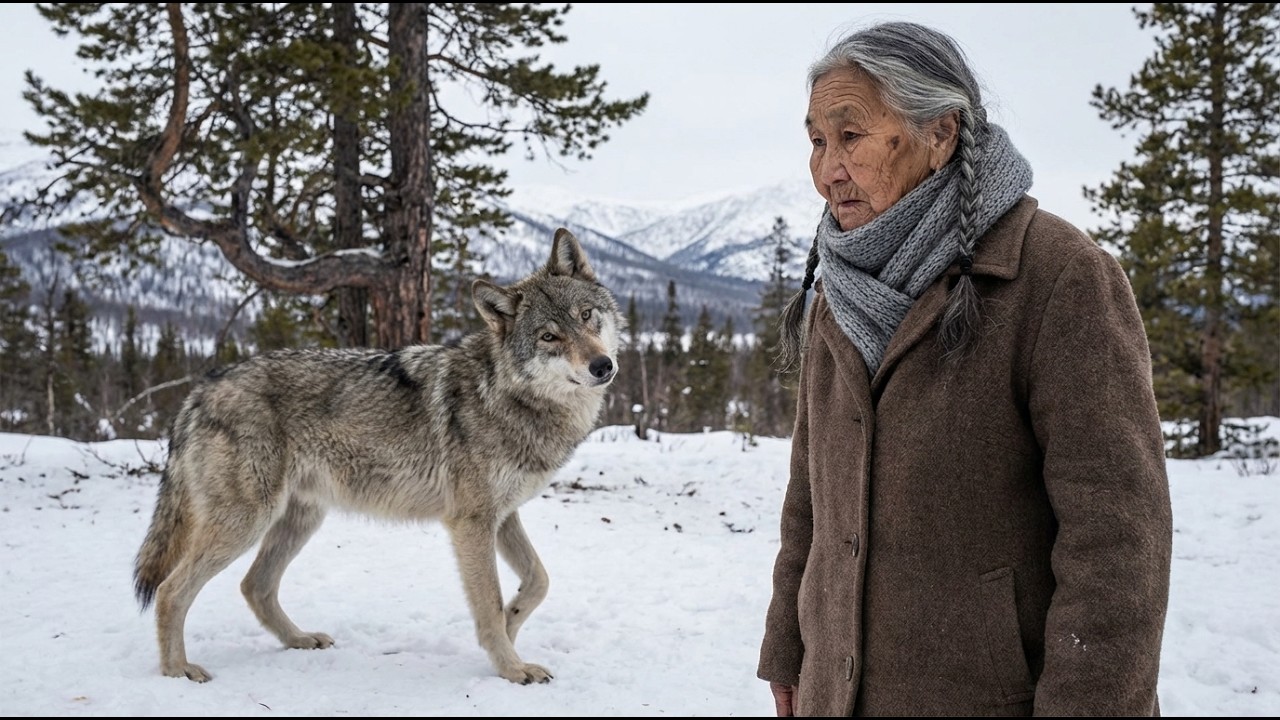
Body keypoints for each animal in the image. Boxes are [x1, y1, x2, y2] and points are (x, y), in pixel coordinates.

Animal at [132, 228, 621, 684]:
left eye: (586, 316)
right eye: (549, 337)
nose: (603, 366)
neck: (510, 396)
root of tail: (199, 391)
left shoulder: (503, 515)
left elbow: (538, 581)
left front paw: (513, 624)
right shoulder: (471, 522)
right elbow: (488, 603)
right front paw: (511, 668)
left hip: (298, 519)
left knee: (255, 586)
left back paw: (299, 640)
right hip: (247, 521)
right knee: (172, 591)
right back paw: (178, 671)